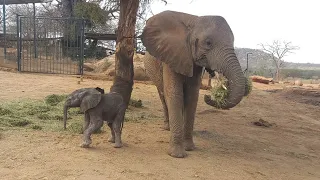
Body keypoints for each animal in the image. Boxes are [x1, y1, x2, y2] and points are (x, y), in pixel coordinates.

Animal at [141, 10, 246, 158]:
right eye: (208, 43)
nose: (208, 96)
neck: (193, 22)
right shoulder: (171, 55)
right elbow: (175, 93)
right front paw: (177, 155)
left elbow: (192, 95)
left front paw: (189, 148)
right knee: (163, 95)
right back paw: (167, 127)